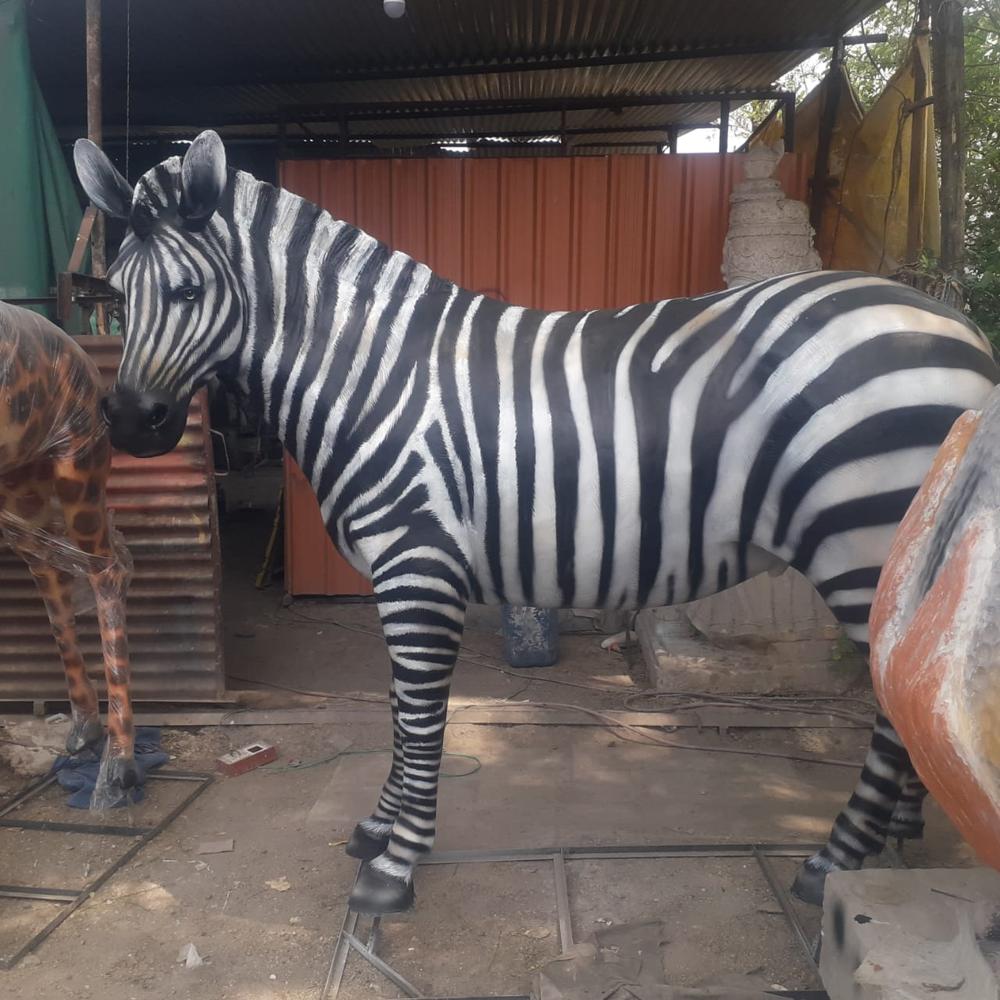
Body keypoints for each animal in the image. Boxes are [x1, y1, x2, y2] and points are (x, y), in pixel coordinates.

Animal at [74, 131, 998, 915]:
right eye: (115, 294)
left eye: (190, 291)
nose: (128, 425)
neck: (367, 371)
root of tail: (955, 323)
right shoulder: (402, 574)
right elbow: (396, 708)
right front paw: (378, 829)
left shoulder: (417, 563)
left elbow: (418, 714)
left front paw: (395, 866)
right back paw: (898, 831)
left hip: (861, 543)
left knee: (890, 700)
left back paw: (837, 857)